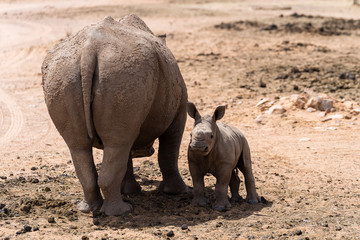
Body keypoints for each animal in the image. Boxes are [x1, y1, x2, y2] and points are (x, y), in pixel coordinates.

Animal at [41, 14, 187, 216]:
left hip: (66, 74)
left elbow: (126, 155)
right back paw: (122, 212)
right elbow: (169, 151)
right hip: (123, 74)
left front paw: (129, 190)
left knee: (84, 146)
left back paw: (89, 209)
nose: (145, 151)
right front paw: (177, 192)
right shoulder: (179, 111)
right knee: (117, 145)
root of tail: (89, 49)